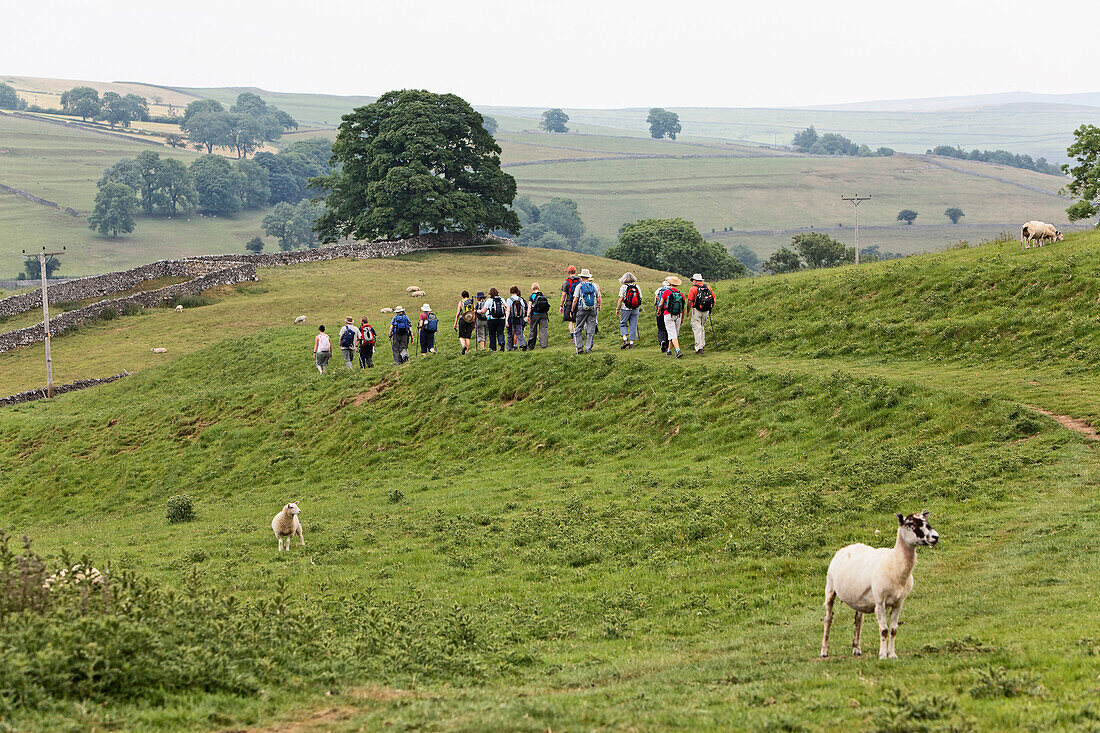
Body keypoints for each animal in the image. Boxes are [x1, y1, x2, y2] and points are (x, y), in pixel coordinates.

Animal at [822, 510, 941, 660]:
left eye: (926, 521)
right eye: (910, 524)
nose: (935, 536)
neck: (895, 563)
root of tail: (846, 547)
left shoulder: (899, 603)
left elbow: (893, 630)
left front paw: (892, 654)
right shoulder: (880, 602)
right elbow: (884, 630)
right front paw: (883, 655)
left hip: (859, 598)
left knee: (858, 620)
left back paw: (857, 649)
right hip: (830, 587)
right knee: (828, 618)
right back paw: (824, 651)